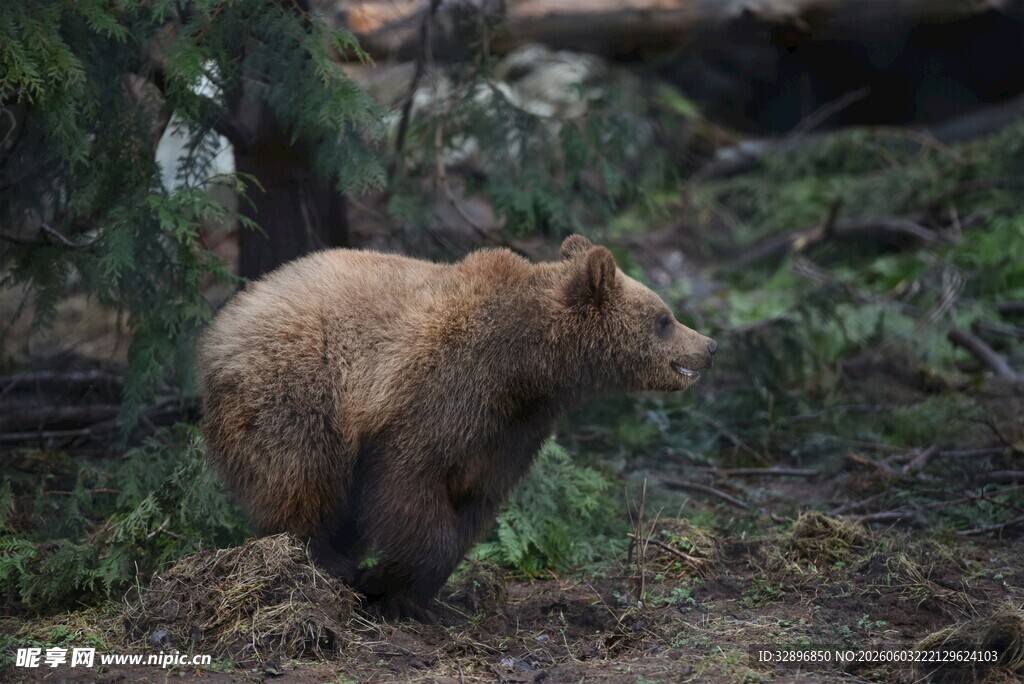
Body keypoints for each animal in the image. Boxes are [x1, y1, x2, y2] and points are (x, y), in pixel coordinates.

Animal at [198, 235, 716, 620]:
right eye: (665, 319)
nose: (709, 344)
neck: (527, 366)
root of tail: (222, 325)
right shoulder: (440, 392)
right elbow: (409, 482)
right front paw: (384, 585)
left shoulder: (510, 429)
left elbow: (475, 500)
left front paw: (403, 590)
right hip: (296, 391)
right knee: (301, 477)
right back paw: (320, 562)